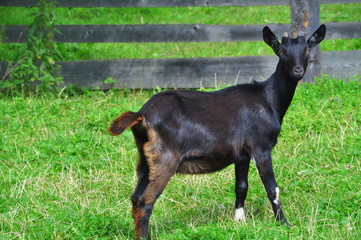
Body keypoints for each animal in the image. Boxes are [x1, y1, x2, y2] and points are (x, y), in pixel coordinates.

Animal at [108, 25, 324, 239]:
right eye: (281, 51)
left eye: (307, 50)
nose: (297, 70)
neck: (268, 99)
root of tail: (141, 115)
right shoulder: (261, 148)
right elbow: (273, 189)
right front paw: (285, 224)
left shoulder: (242, 154)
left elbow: (241, 187)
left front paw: (239, 222)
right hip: (165, 158)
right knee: (145, 201)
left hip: (145, 158)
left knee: (136, 197)